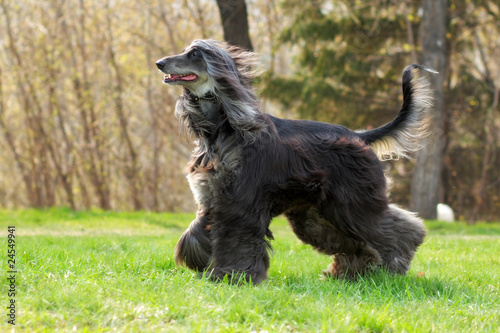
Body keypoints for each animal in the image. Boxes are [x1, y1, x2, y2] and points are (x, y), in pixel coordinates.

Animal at [156, 38, 434, 282]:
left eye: (195, 54)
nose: (160, 63)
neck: (223, 128)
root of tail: (358, 135)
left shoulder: (241, 201)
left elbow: (237, 239)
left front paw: (233, 276)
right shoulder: (212, 195)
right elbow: (197, 230)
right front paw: (201, 263)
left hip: (352, 202)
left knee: (400, 230)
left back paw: (393, 268)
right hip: (318, 213)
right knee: (352, 241)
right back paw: (349, 274)